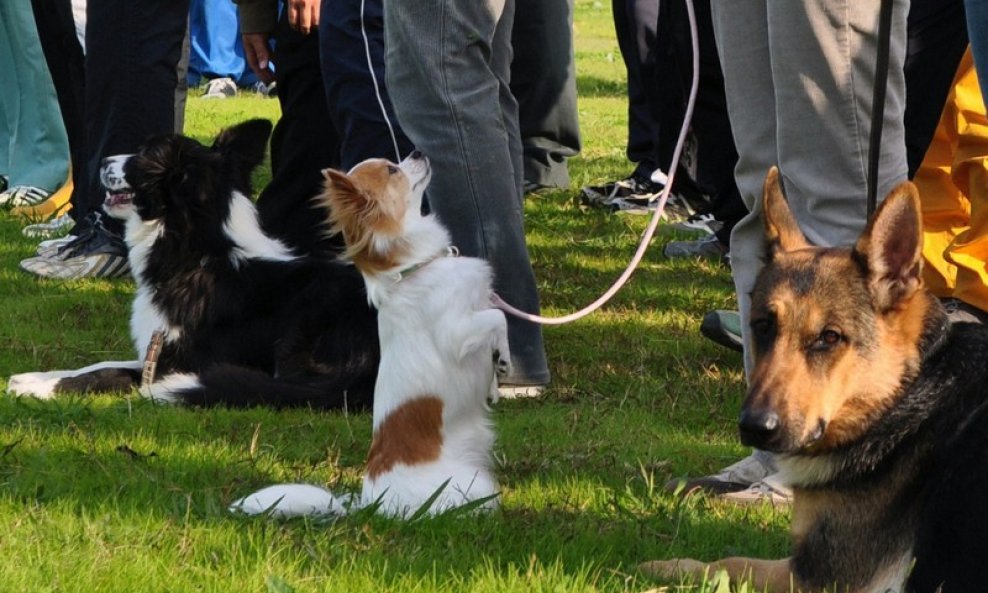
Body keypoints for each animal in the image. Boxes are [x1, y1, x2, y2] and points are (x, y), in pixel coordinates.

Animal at [640, 168, 988, 592]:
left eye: (829, 337)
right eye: (762, 326)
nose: (755, 428)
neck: (904, 394)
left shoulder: (819, 576)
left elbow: (732, 562)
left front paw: (667, 567)